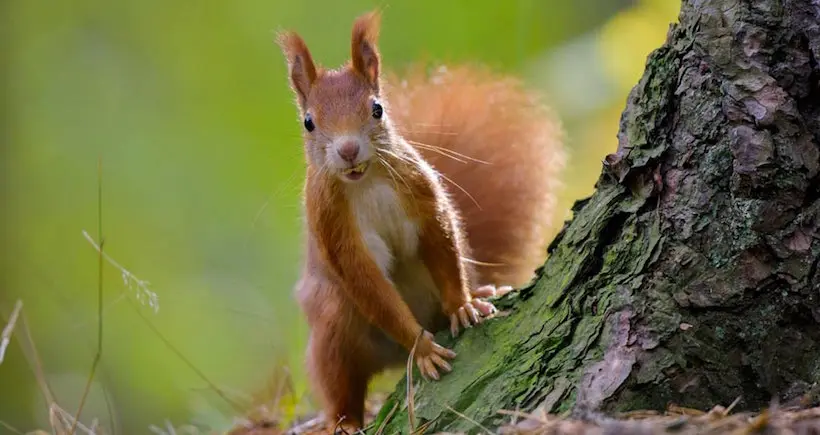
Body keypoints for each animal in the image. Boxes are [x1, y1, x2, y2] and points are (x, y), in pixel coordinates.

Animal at [276, 9, 564, 432]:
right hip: (333, 323)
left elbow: (442, 241)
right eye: (309, 123)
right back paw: (345, 421)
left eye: (377, 108)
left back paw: (480, 292)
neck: (366, 182)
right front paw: (423, 347)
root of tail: (391, 360)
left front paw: (462, 305)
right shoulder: (332, 226)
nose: (348, 150)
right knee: (341, 379)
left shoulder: (421, 193)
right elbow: (369, 286)